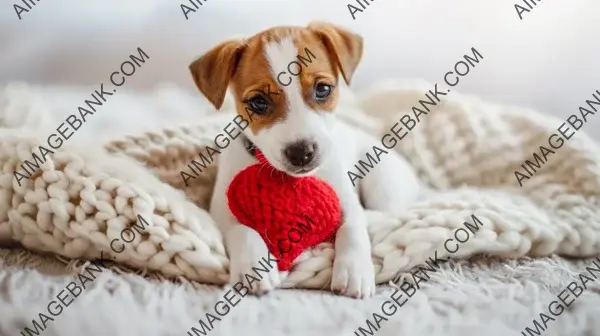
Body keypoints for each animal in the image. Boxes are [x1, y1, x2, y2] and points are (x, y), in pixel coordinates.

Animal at [190, 22, 420, 298]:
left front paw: (354, 270)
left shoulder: (344, 199)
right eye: (258, 102)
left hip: (383, 185)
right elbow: (242, 229)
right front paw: (254, 266)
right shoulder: (223, 210)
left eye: (322, 89)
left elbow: (352, 227)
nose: (301, 152)